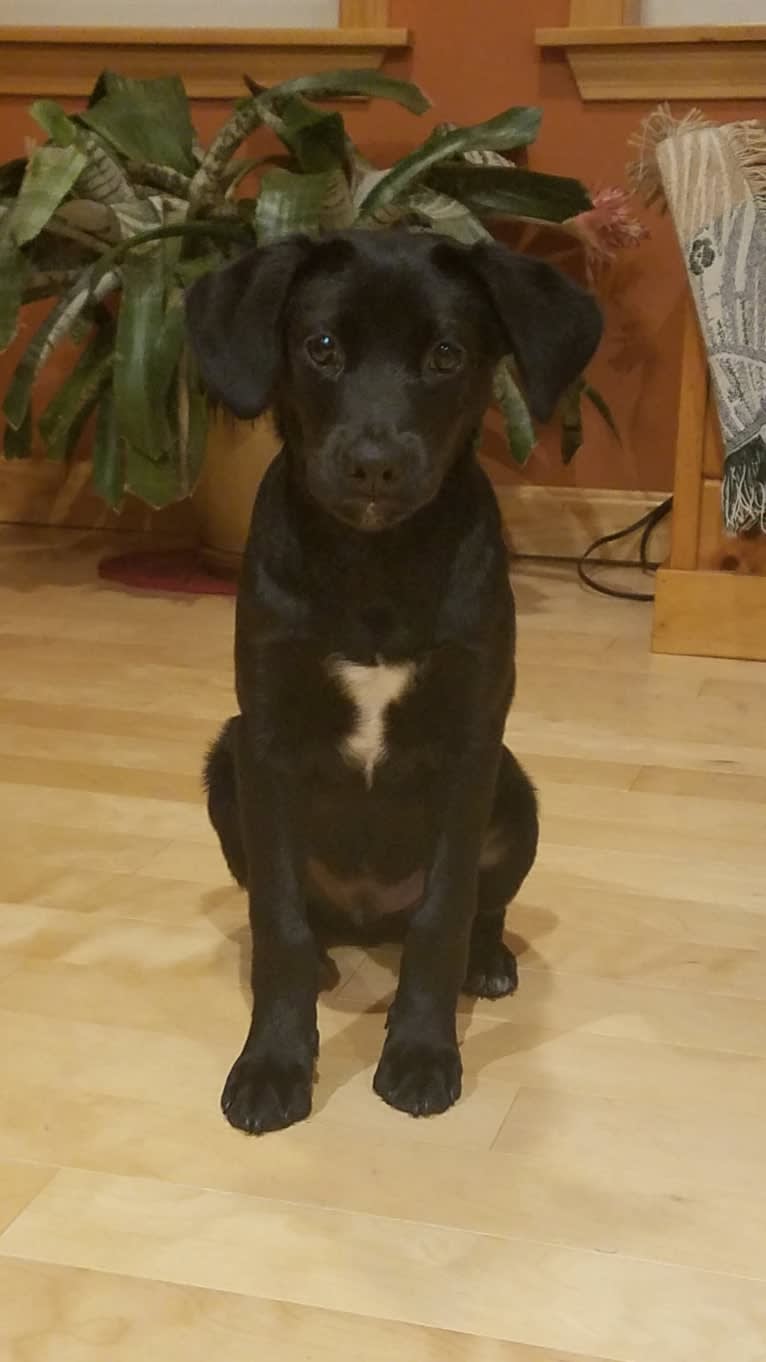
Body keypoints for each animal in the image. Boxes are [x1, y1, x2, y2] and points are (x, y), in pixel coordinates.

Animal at [186, 228, 602, 1133]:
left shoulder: (471, 745)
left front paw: (420, 1054)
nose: (374, 466)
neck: (373, 564)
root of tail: (369, 914)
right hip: (223, 768)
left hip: (516, 794)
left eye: (447, 355)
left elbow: (443, 917)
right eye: (321, 347)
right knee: (298, 915)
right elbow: (277, 922)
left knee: (477, 906)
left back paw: (488, 961)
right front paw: (273, 1065)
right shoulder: (265, 741)